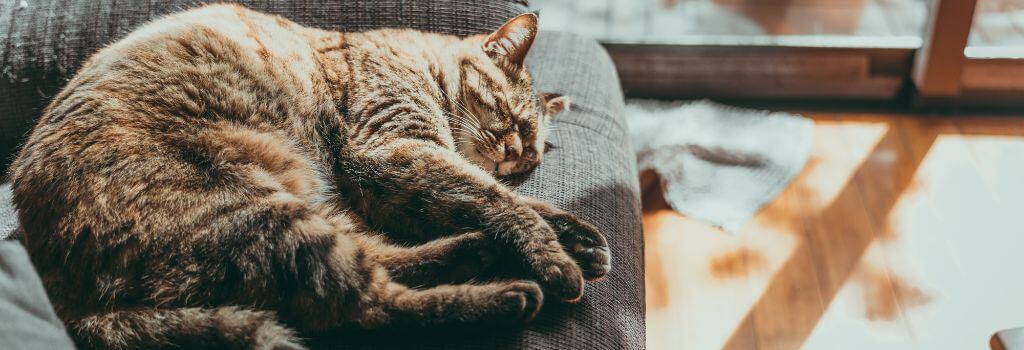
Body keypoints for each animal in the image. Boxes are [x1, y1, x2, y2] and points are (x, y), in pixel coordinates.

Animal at [6, 3, 606, 350]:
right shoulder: (394, 149)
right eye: (510, 117)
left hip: (310, 209)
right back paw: (505, 291)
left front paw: (578, 238)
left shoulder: (399, 176)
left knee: (379, 264)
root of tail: (63, 291)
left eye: (531, 155)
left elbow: (504, 199)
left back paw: (478, 252)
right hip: (257, 211)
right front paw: (556, 256)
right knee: (364, 306)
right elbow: (503, 202)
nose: (514, 153)